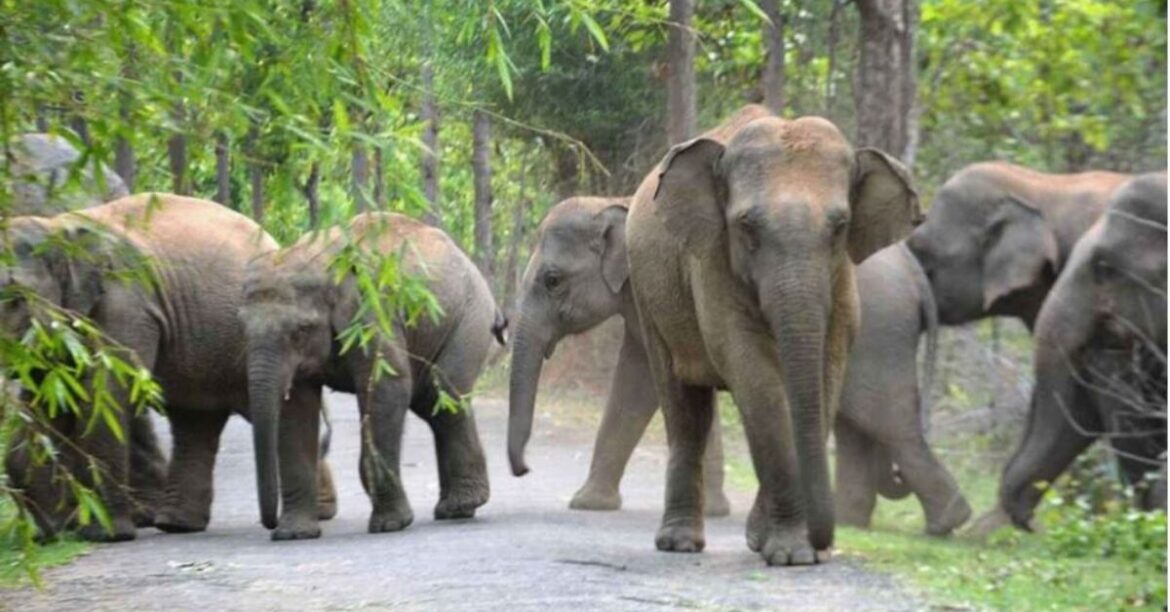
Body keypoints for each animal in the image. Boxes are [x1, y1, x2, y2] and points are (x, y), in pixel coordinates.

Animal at [1, 193, 337, 541]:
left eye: (14, 299)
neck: (57, 227)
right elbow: (52, 398)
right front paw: (52, 532)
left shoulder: (126, 304)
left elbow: (105, 396)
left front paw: (107, 535)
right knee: (195, 420)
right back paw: (176, 524)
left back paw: (320, 513)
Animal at [240, 212, 504, 540]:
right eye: (241, 327)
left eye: (300, 330)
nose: (270, 523)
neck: (318, 259)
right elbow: (295, 409)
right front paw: (293, 534)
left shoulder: (372, 312)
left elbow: (387, 388)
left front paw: (390, 525)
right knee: (431, 403)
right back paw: (455, 508)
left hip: (469, 318)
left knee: (442, 397)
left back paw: (459, 507)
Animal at [625, 105, 921, 565]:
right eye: (747, 226)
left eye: (841, 226)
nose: (825, 542)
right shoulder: (712, 261)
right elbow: (755, 373)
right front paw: (792, 555)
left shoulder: (842, 280)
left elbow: (824, 374)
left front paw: (776, 546)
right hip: (647, 290)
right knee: (685, 407)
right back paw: (679, 543)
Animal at [834, 242, 971, 536]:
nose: (898, 475)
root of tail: (909, 264)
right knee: (856, 422)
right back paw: (848, 522)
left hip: (873, 328)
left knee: (883, 422)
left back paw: (946, 523)